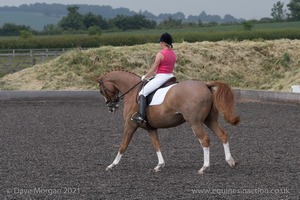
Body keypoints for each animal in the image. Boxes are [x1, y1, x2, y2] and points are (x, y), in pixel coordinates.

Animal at [97, 70, 240, 173]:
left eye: (101, 90)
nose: (111, 107)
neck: (133, 92)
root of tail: (205, 84)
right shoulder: (151, 128)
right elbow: (156, 145)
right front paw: (159, 165)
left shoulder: (130, 125)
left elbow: (123, 145)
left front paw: (112, 165)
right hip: (209, 120)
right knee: (223, 135)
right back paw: (231, 161)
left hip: (195, 122)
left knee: (204, 140)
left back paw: (204, 167)